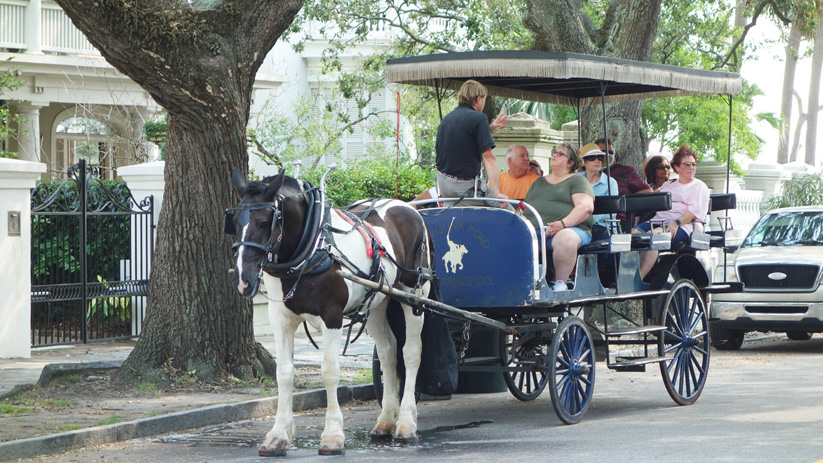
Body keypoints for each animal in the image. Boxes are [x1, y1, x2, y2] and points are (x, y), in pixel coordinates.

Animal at [225, 169, 432, 456]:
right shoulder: (280, 319)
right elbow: (284, 373)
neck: (310, 248)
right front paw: (278, 434)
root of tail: (406, 206)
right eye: (234, 221)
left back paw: (406, 423)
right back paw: (385, 421)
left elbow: (330, 372)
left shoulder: (331, 316)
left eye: (265, 221)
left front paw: (333, 435)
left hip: (414, 296)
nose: (242, 280)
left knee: (411, 353)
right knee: (388, 352)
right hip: (377, 301)